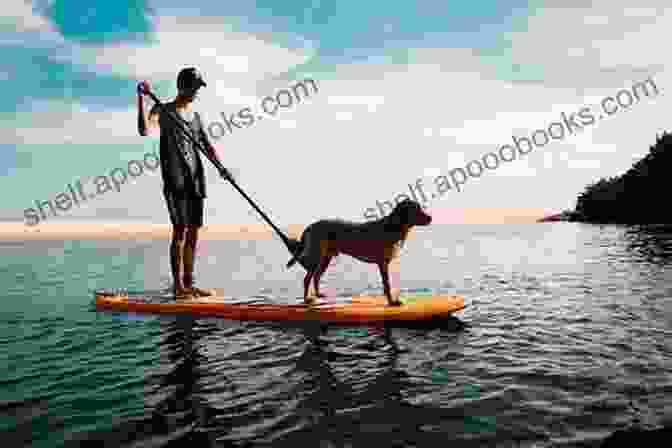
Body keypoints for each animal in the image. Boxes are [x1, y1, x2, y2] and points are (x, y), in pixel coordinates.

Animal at [286, 199, 434, 304]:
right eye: (416, 209)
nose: (430, 218)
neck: (392, 227)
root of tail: (310, 226)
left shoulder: (383, 263)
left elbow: (386, 284)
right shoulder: (383, 263)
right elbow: (387, 284)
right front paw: (392, 302)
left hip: (325, 258)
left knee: (316, 276)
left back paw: (318, 295)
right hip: (317, 256)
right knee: (307, 279)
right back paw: (306, 300)